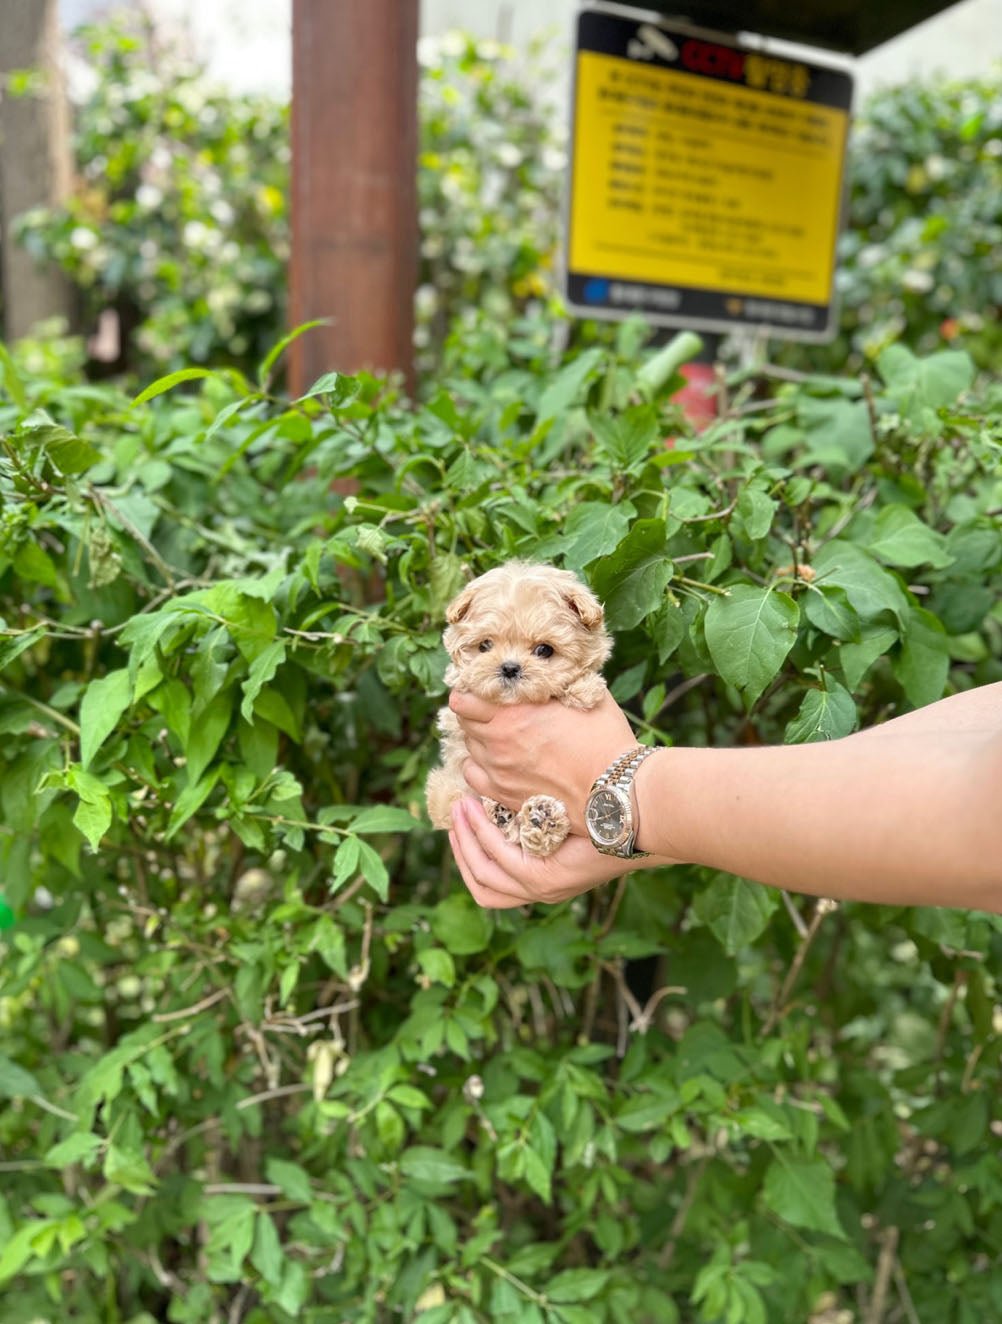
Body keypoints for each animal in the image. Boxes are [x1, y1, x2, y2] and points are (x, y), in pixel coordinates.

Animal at [423, 561, 608, 857]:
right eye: (485, 645)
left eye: (544, 650)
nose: (509, 668)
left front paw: (584, 688)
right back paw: (510, 814)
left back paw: (541, 820)